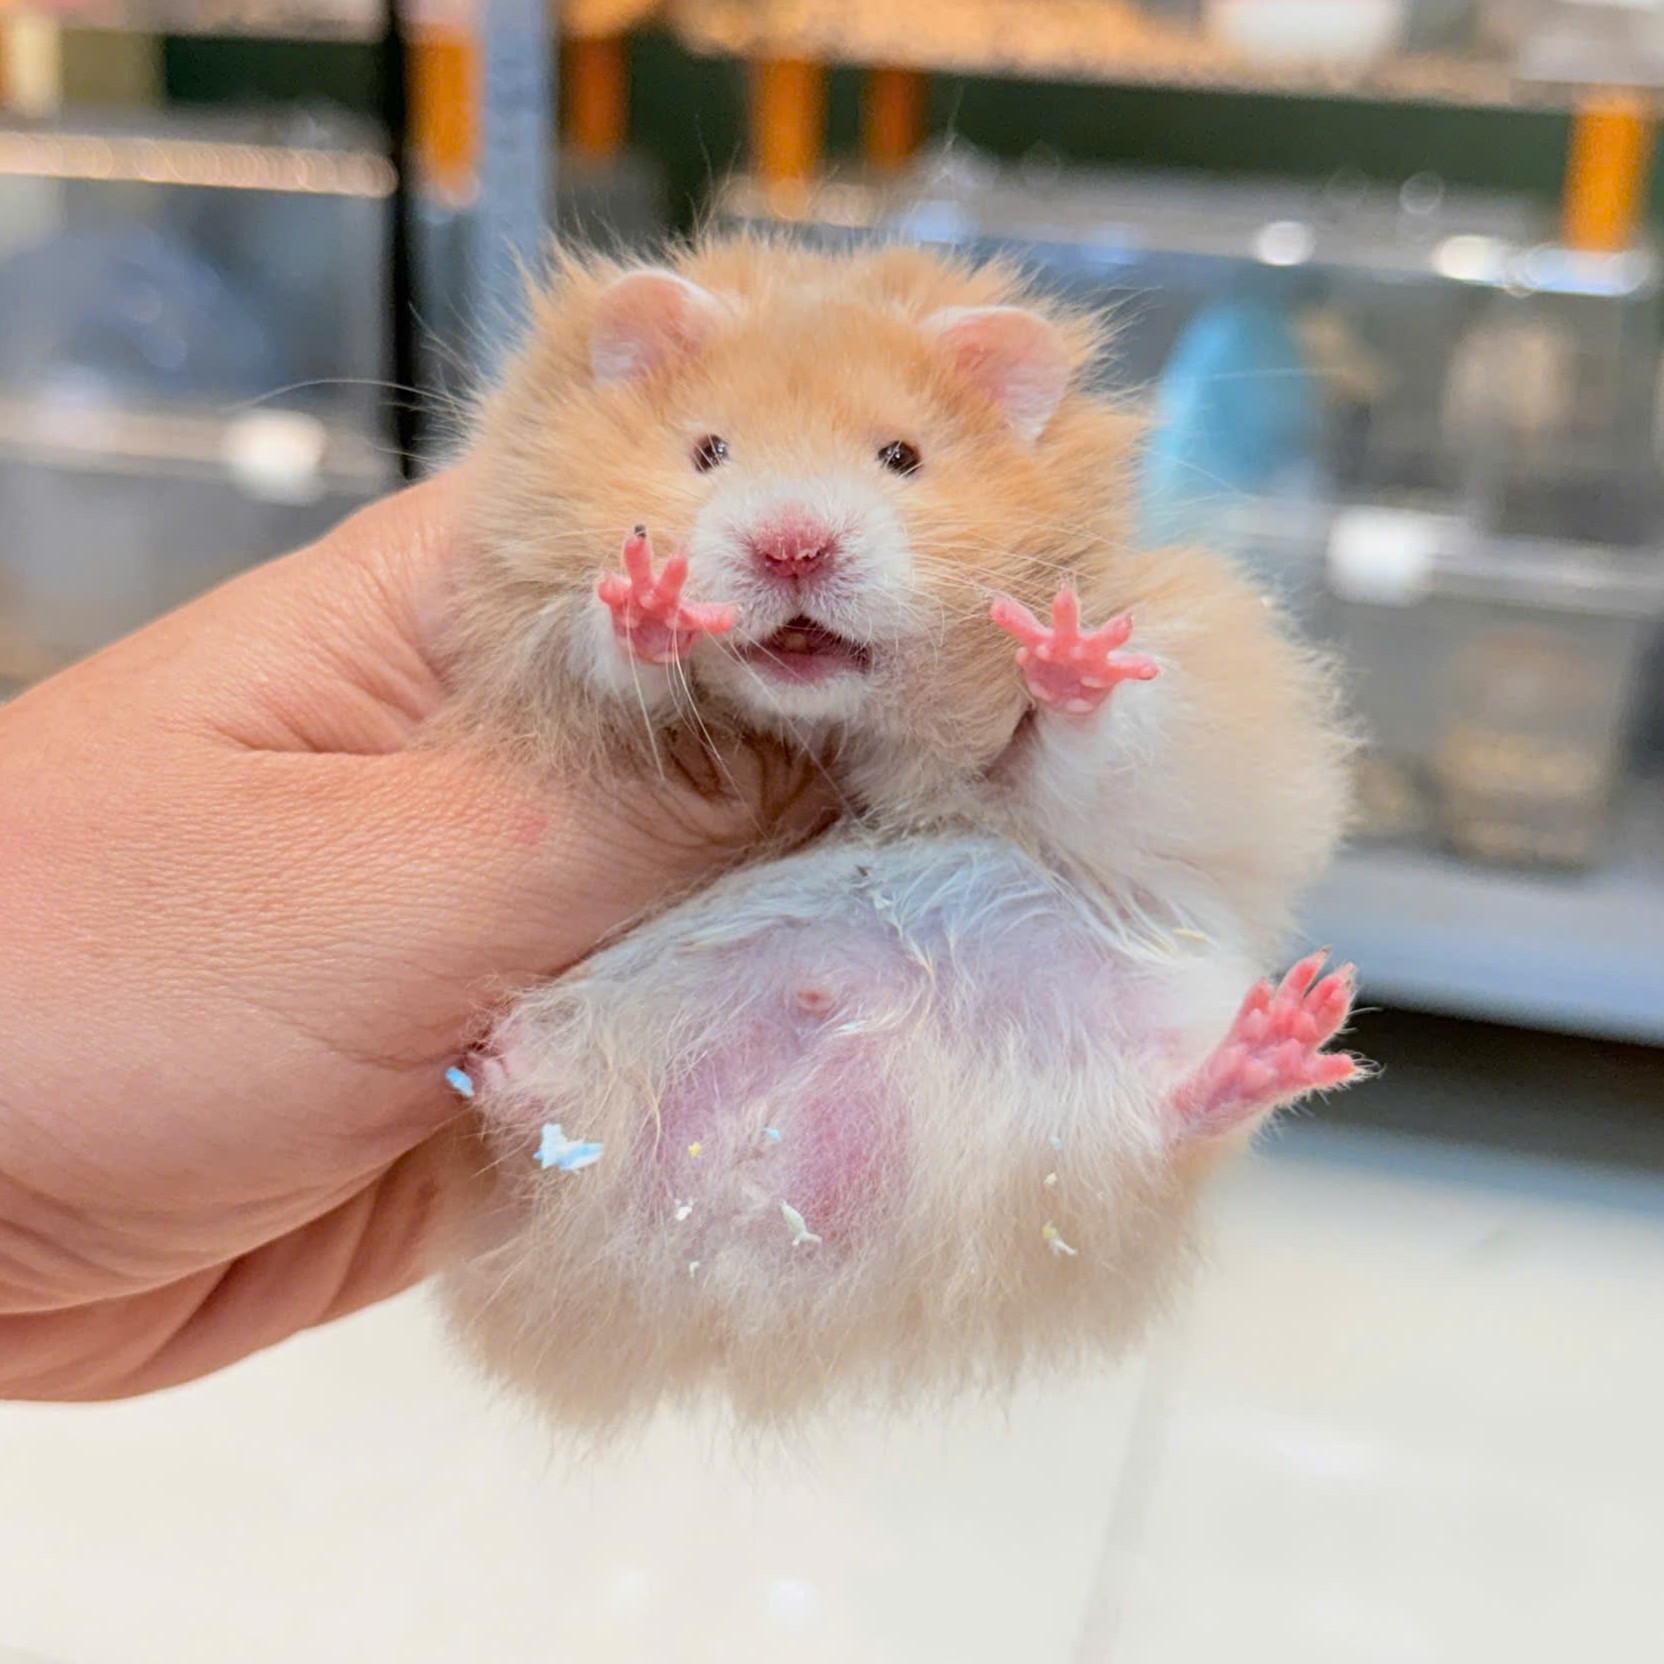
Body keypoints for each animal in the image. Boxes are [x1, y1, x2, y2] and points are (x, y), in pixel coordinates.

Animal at [439, 237, 1359, 1432]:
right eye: (707, 451)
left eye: (900, 457)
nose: (792, 546)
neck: (827, 718)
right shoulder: (535, 648)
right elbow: (609, 656)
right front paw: (649, 600)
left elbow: (1064, 743)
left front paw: (1064, 655)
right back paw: (501, 1067)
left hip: (1103, 1086)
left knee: (1166, 1122)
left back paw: (1283, 1034)